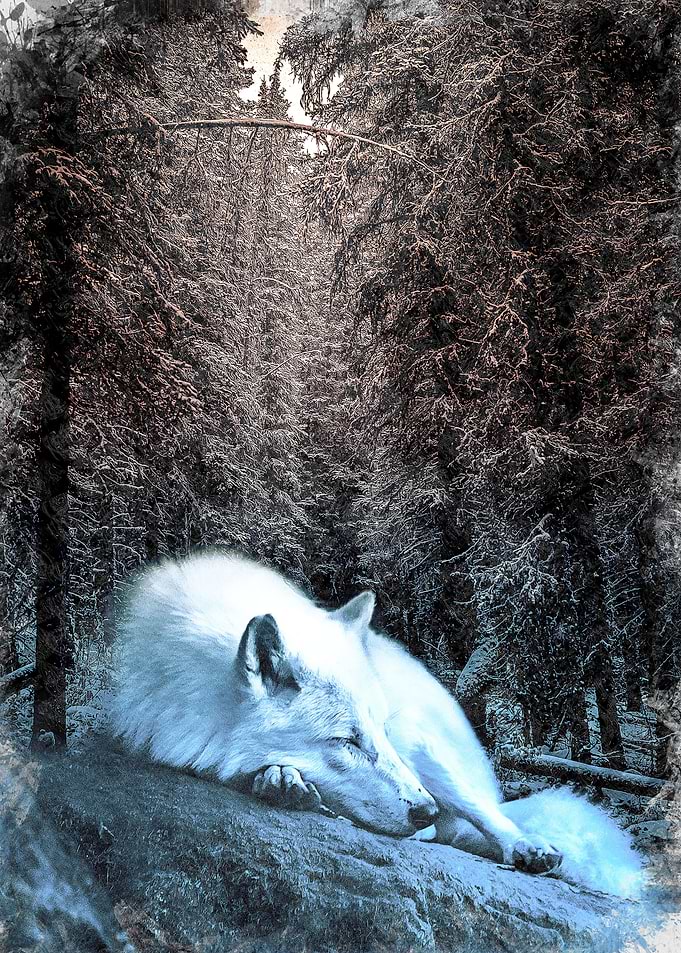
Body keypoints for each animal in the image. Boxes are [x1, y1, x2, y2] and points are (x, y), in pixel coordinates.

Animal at [111, 550, 644, 898]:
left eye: (378, 733)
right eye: (346, 741)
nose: (424, 810)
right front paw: (281, 779)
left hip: (429, 752)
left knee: (486, 815)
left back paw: (523, 846)